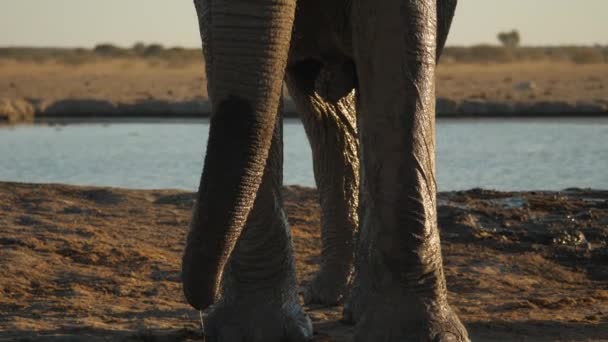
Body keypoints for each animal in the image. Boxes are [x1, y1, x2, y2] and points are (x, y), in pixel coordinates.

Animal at [182, 0, 470, 340]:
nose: (202, 304)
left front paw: (419, 332)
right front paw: (252, 332)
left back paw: (354, 304)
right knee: (323, 118)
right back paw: (326, 295)